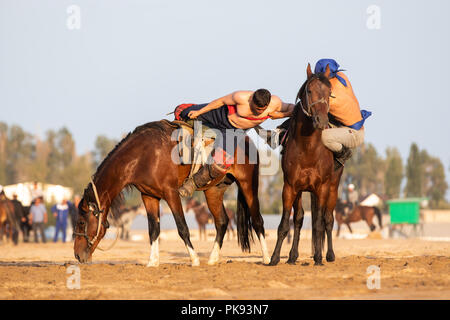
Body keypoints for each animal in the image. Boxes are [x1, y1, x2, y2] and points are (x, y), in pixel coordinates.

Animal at [74, 119, 270, 264]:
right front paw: (152, 262)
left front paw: (194, 259)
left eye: (82, 222)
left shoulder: (171, 193)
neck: (144, 155)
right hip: (213, 190)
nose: (76, 255)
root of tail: (246, 140)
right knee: (222, 222)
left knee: (257, 220)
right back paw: (213, 259)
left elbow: (182, 227)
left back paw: (267, 258)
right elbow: (154, 229)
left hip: (247, 184)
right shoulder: (149, 196)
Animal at [270, 63, 344, 266]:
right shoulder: (290, 187)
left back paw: (329, 255)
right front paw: (275, 258)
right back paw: (292, 256)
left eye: (330, 92)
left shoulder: (322, 188)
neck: (308, 149)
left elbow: (319, 224)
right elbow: (286, 224)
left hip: (333, 187)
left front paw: (319, 258)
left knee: (328, 219)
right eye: (309, 91)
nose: (321, 120)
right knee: (299, 218)